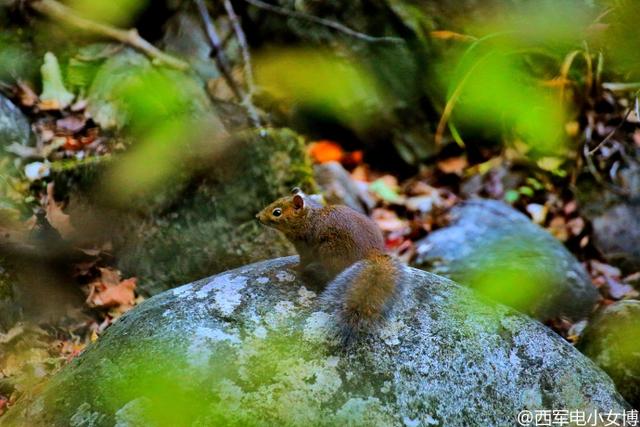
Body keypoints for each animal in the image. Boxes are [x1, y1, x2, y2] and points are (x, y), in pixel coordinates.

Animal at [255, 188, 404, 348]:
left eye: (277, 212)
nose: (257, 217)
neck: (307, 219)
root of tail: (371, 255)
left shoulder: (306, 248)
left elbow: (303, 263)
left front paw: (293, 267)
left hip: (330, 253)